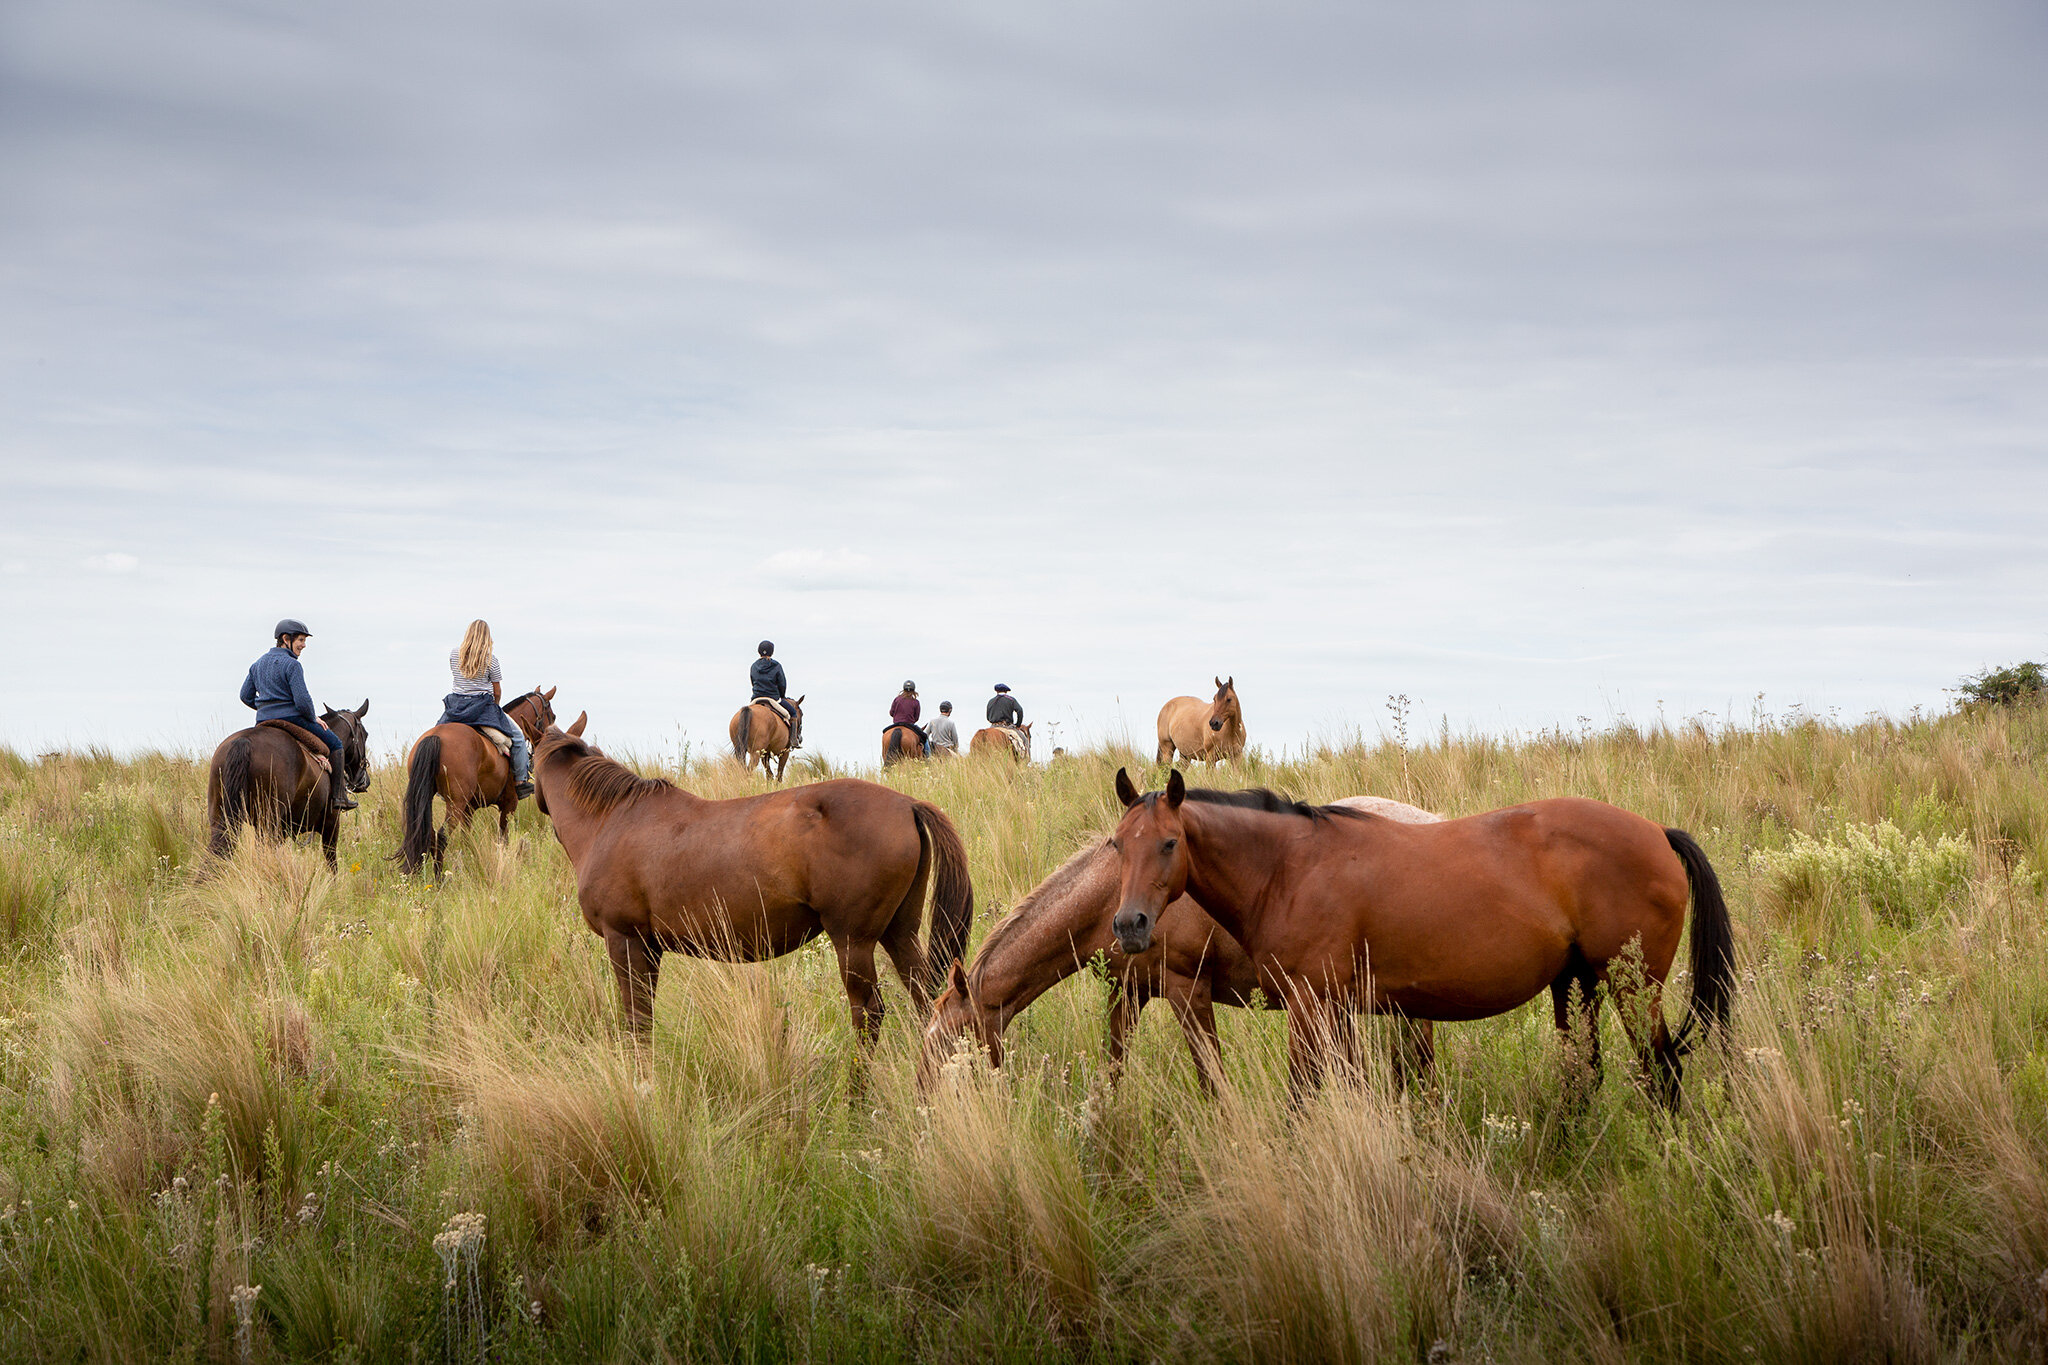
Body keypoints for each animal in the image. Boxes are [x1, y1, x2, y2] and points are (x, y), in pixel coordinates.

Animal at [207, 699, 372, 871]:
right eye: (365, 734)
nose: (364, 781)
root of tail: (244, 741)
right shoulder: (331, 823)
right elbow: (332, 862)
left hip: (221, 816)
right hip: (267, 822)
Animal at [395, 687, 561, 879]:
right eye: (552, 716)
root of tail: (436, 736)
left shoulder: (469, 809)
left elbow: (467, 838)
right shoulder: (509, 803)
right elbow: (503, 838)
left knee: (427, 835)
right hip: (455, 804)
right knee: (441, 837)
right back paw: (438, 879)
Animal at [532, 712, 970, 1055]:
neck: (612, 819)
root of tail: (907, 804)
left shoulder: (625, 940)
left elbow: (636, 1019)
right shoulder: (650, 948)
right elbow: (645, 1017)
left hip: (853, 941)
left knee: (869, 1012)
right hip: (900, 931)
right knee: (926, 996)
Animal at [921, 794, 1449, 1096]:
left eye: (951, 1041)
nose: (925, 1102)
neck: (1115, 892)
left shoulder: (1188, 991)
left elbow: (1212, 1082)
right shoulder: (1127, 993)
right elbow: (1113, 1072)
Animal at [1105, 769, 1728, 1113]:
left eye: (1168, 843)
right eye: (1116, 843)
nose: (1130, 924)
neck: (1289, 868)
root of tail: (1656, 832)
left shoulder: (1310, 1005)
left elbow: (1302, 1099)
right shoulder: (1337, 1010)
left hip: (1632, 988)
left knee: (1663, 1074)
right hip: (1575, 984)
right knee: (1585, 1074)